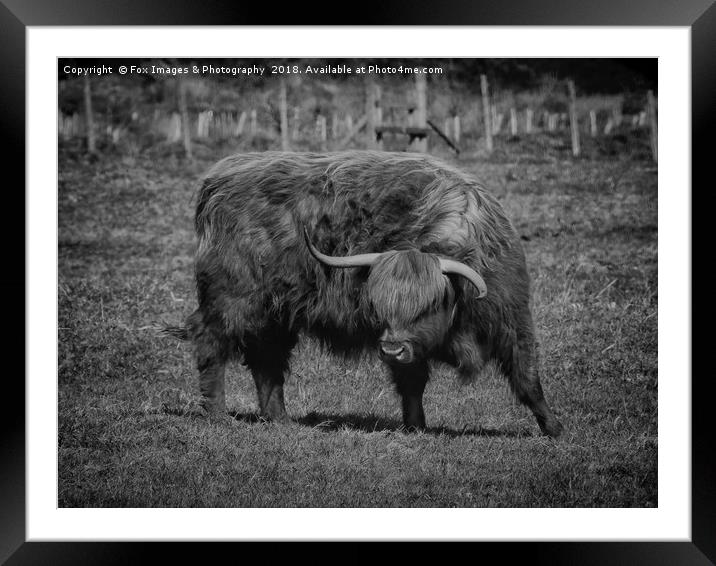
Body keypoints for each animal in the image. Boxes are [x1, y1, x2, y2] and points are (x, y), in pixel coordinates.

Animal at [169, 151, 564, 440]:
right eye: (380, 304)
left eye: (428, 306)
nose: (390, 348)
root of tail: (218, 179)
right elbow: (413, 382)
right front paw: (417, 426)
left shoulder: (511, 317)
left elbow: (527, 376)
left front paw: (554, 427)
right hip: (231, 299)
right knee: (213, 347)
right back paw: (219, 416)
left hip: (275, 314)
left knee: (268, 363)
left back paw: (280, 419)